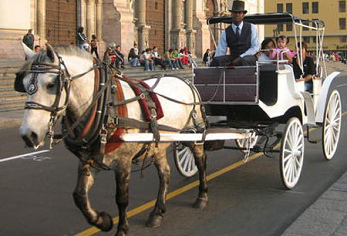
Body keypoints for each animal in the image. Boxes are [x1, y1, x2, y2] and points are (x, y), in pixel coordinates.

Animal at [17, 44, 209, 236]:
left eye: (51, 84)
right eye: (24, 85)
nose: (29, 135)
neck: (106, 106)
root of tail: (186, 82)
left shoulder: (123, 161)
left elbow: (121, 198)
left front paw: (122, 228)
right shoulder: (88, 159)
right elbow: (79, 196)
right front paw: (102, 221)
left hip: (193, 133)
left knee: (200, 162)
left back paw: (202, 196)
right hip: (158, 144)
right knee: (165, 173)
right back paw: (157, 212)